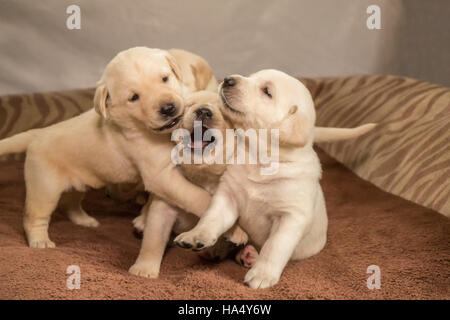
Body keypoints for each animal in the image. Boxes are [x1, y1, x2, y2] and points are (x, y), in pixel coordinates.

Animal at [174, 70, 346, 290]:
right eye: (251, 76)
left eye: (267, 91)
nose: (228, 79)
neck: (259, 158)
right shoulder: (227, 196)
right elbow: (211, 218)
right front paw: (196, 235)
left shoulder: (291, 216)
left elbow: (275, 246)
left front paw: (262, 274)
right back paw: (216, 251)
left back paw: (250, 256)